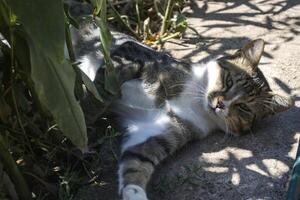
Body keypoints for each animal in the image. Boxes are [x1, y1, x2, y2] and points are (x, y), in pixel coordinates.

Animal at [67, 1, 294, 200]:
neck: (194, 101)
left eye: (244, 108)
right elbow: (98, 95)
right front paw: (80, 128)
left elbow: (135, 166)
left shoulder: (154, 133)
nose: (220, 103)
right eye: (228, 81)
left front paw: (135, 194)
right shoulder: (127, 54)